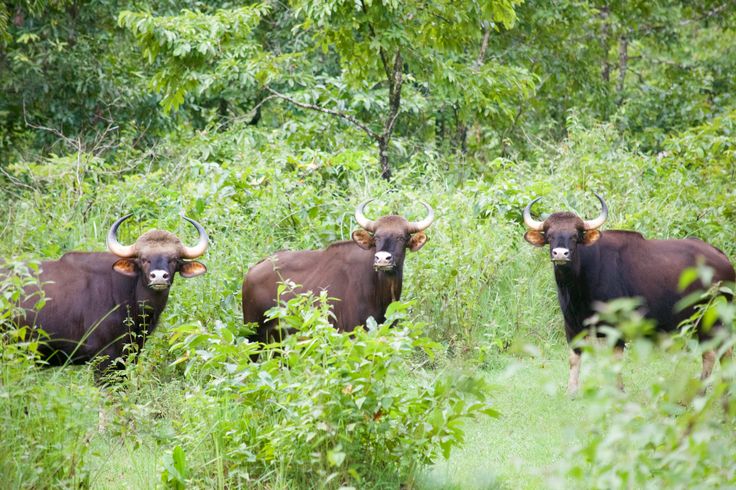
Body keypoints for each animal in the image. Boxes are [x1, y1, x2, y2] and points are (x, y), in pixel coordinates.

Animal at [243, 200, 434, 344]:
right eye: (376, 237)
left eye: (401, 237)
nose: (382, 259)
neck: (379, 292)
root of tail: (252, 271)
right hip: (252, 334)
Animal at [523, 193, 735, 393]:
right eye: (549, 235)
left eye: (575, 235)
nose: (560, 254)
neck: (578, 287)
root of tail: (723, 259)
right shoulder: (572, 325)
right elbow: (574, 358)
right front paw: (572, 391)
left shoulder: (617, 327)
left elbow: (615, 360)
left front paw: (618, 390)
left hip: (710, 319)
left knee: (712, 353)